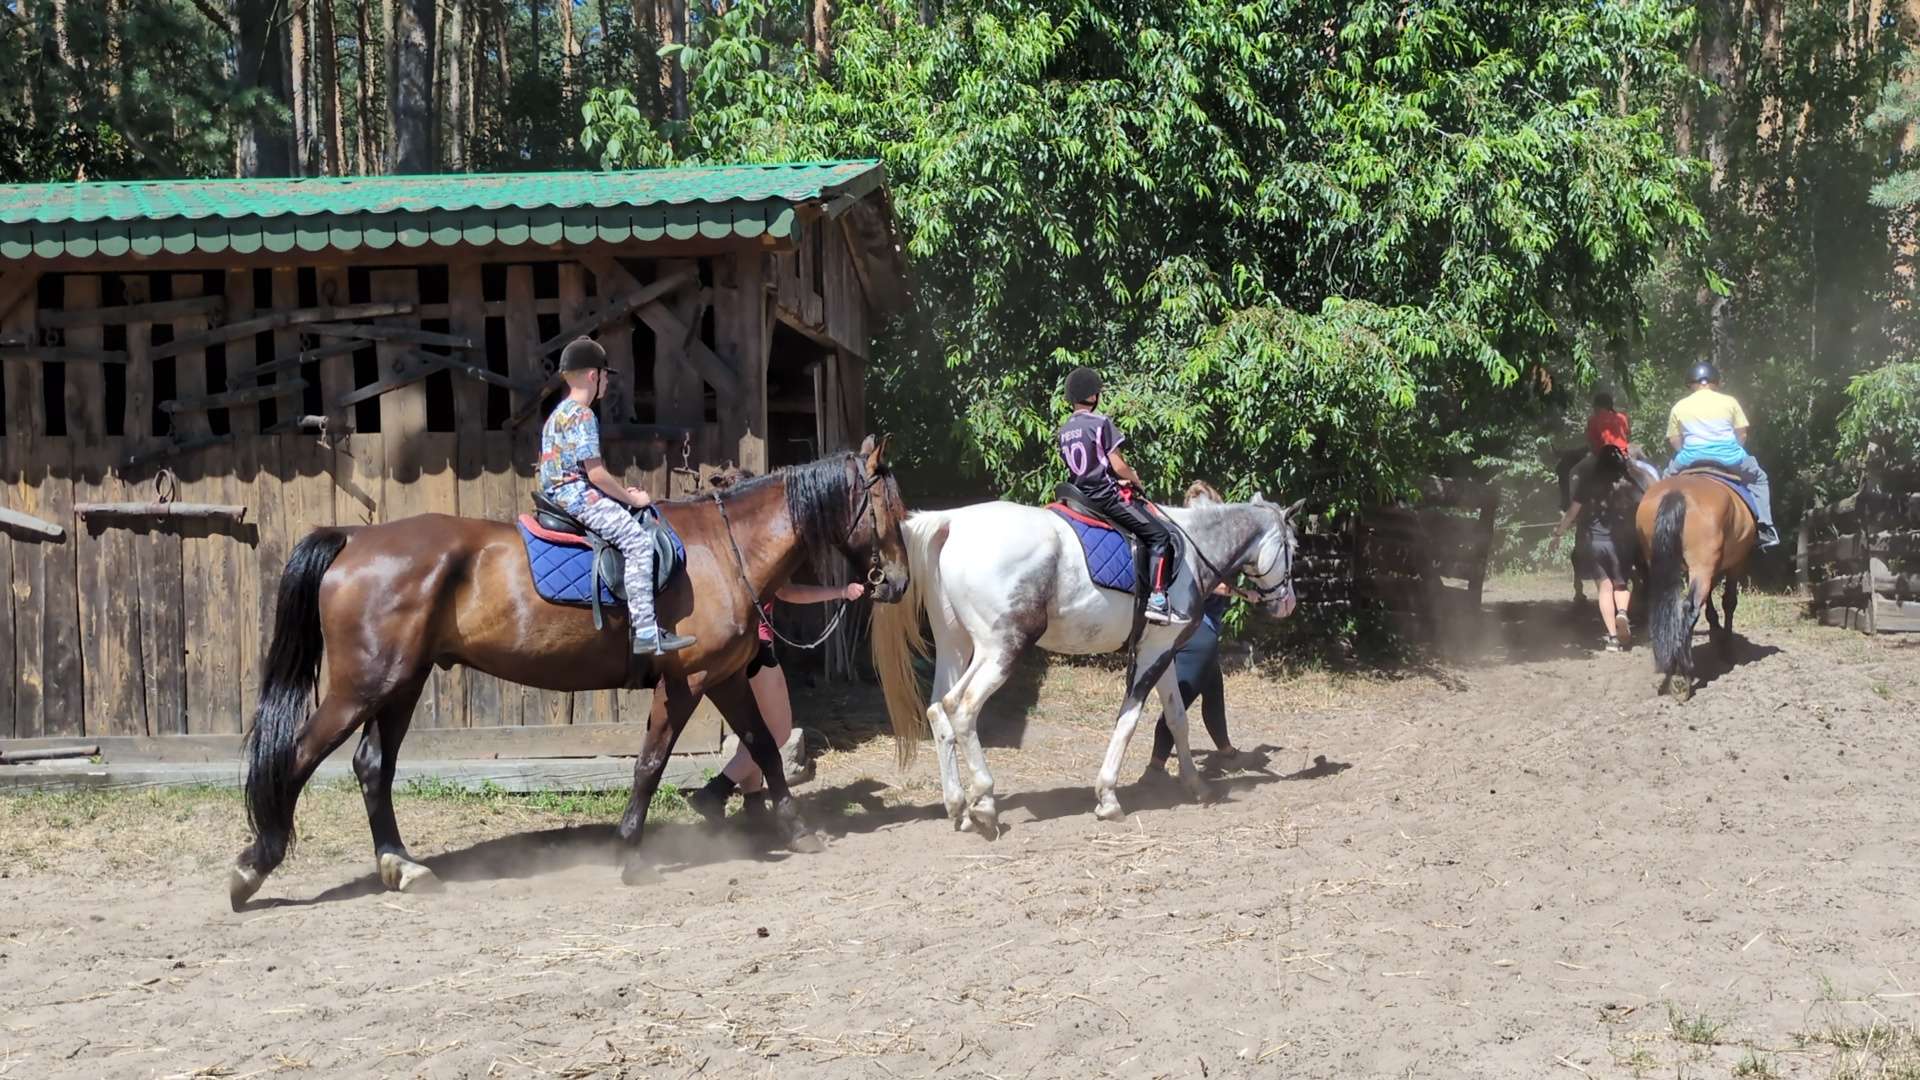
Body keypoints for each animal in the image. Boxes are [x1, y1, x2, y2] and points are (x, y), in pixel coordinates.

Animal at [229, 436, 910, 909]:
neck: (724, 550)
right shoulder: (685, 683)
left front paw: (797, 830)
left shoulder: (723, 678)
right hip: (361, 689)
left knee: (373, 767)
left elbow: (765, 746)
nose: (896, 583)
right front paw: (630, 853)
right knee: (296, 758)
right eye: (890, 507)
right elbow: (651, 764)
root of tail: (353, 539)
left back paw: (403, 867)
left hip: (401, 684)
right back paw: (253, 867)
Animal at [870, 493, 1303, 834]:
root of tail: (955, 522)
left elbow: (1177, 718)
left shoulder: (1163, 650)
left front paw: (1196, 785)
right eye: (1292, 548)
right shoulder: (1153, 652)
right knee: (962, 708)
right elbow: (1129, 720)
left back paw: (958, 805)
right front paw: (1108, 797)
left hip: (955, 645)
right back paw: (986, 803)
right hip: (1001, 649)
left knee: (937, 709)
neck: (1193, 549)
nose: (1288, 603)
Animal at [1635, 471, 1757, 702]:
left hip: (1657, 562)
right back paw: (1682, 675)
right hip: (1702, 565)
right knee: (1689, 609)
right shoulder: (1736, 563)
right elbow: (1729, 602)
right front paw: (1726, 648)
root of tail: (1676, 493)